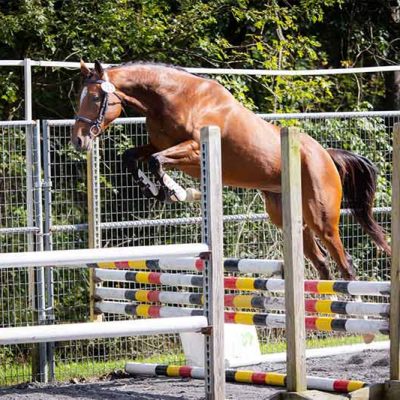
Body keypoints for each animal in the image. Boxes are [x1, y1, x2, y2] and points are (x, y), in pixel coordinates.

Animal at [72, 61, 390, 282]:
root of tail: (326, 156)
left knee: (345, 264)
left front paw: (176, 192)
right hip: (289, 218)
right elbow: (134, 157)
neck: (174, 96)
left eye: (95, 98)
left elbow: (156, 161)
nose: (78, 140)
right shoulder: (159, 144)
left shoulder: (193, 150)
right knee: (322, 263)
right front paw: (153, 189)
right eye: (80, 96)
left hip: (322, 219)